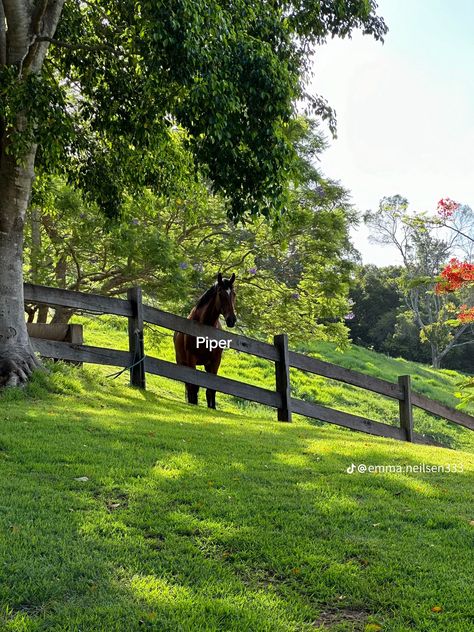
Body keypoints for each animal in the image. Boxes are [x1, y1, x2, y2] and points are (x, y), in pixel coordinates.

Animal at [173, 272, 236, 410]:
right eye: (220, 293)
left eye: (234, 294)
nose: (232, 320)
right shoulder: (191, 359)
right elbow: (194, 388)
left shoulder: (215, 361)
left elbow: (211, 390)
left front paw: (212, 408)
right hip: (183, 363)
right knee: (189, 387)